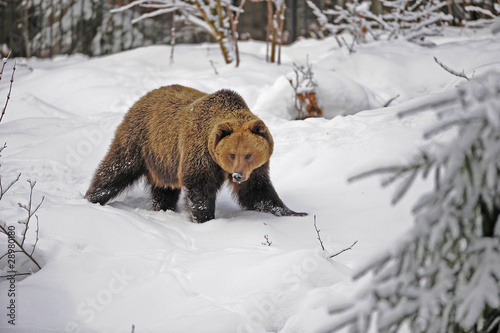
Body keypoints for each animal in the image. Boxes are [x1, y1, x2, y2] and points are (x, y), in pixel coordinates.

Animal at [84, 84, 306, 222]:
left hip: (164, 159)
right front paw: (205, 219)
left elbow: (258, 191)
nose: (237, 175)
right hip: (140, 140)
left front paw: (293, 213)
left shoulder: (255, 169)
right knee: (116, 168)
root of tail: (143, 98)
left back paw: (163, 207)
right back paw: (91, 198)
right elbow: (200, 187)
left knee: (164, 188)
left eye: (249, 154)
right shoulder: (200, 153)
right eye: (231, 154)